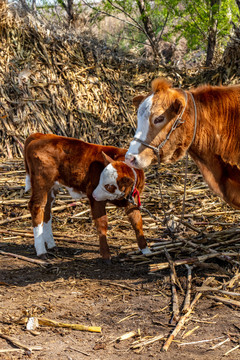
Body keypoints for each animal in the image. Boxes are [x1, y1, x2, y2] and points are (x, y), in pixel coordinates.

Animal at [24, 133, 152, 262]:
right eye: (99, 179)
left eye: (108, 186)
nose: (94, 193)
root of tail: (40, 135)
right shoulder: (96, 200)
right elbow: (102, 224)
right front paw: (106, 255)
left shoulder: (132, 201)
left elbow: (137, 223)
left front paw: (146, 250)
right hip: (41, 182)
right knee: (36, 206)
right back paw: (41, 251)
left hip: (51, 187)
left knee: (47, 210)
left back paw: (51, 245)